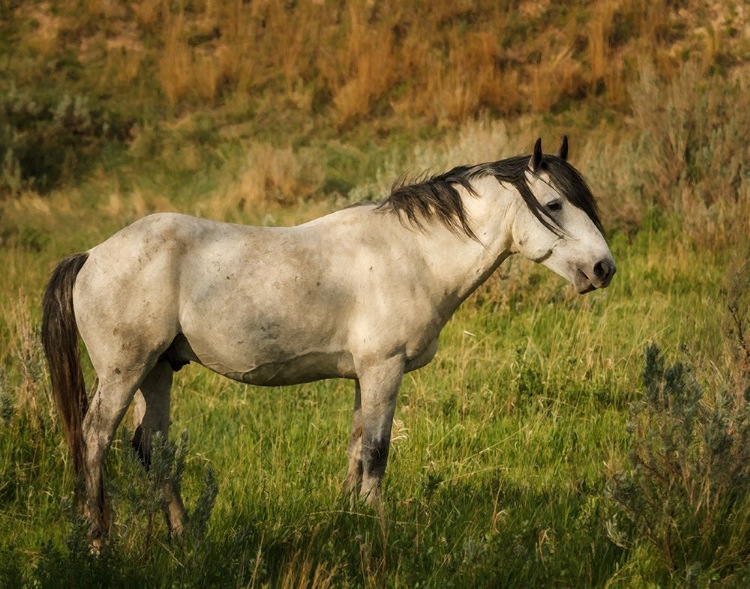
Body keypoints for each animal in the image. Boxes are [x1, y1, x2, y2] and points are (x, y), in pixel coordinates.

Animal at [42, 137, 616, 544]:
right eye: (554, 204)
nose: (603, 268)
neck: (410, 254)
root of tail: (91, 255)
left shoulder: (366, 374)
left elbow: (357, 447)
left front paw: (350, 521)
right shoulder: (384, 368)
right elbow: (378, 452)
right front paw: (377, 532)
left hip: (158, 371)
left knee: (152, 448)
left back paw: (184, 538)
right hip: (125, 372)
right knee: (94, 440)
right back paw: (98, 542)